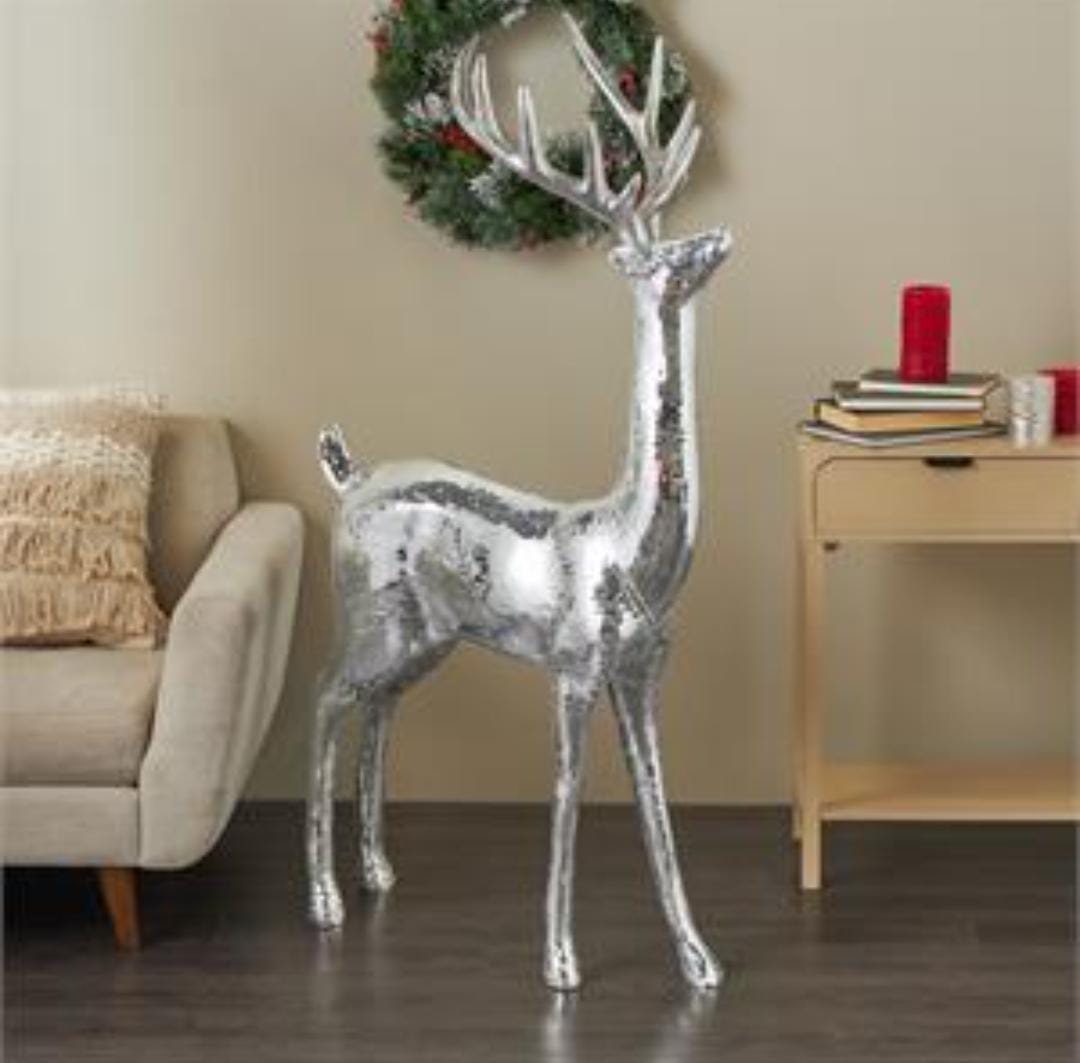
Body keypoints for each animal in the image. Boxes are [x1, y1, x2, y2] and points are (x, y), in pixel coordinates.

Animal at [307, 14, 732, 992]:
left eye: (682, 234)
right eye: (658, 257)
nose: (717, 242)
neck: (631, 547)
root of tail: (348, 474)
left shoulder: (644, 672)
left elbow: (656, 799)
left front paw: (699, 959)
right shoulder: (572, 666)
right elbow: (568, 795)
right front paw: (561, 962)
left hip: (425, 635)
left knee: (378, 709)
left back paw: (379, 870)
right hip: (368, 613)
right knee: (322, 701)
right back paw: (326, 901)